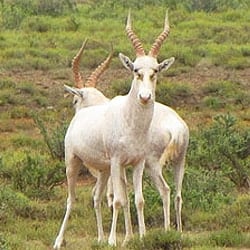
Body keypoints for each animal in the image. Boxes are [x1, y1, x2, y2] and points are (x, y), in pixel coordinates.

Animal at [53, 11, 174, 248]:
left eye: (155, 71)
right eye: (136, 70)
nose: (145, 97)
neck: (130, 123)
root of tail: (80, 117)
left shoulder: (137, 163)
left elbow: (138, 200)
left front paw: (140, 237)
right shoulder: (118, 162)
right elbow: (118, 201)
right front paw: (113, 241)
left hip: (104, 170)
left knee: (96, 196)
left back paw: (99, 238)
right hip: (72, 162)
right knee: (72, 199)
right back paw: (59, 241)